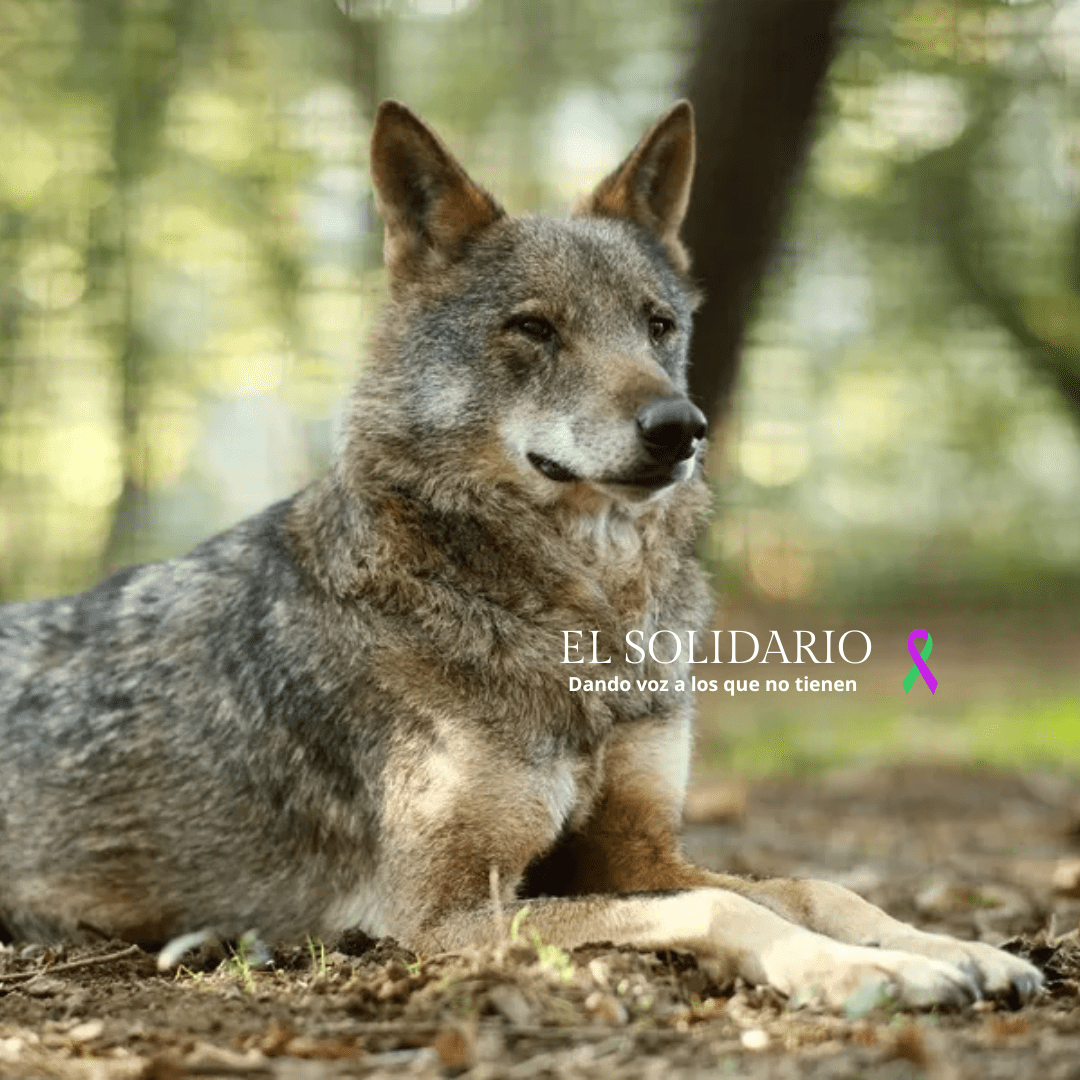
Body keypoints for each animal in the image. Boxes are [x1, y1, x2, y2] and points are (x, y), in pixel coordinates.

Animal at [0, 100, 1042, 1009]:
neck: (586, 619)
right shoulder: (442, 911)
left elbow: (813, 887)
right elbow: (719, 907)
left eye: (658, 326)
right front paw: (869, 974)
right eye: (535, 329)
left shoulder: (637, 850)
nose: (682, 427)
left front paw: (957, 949)